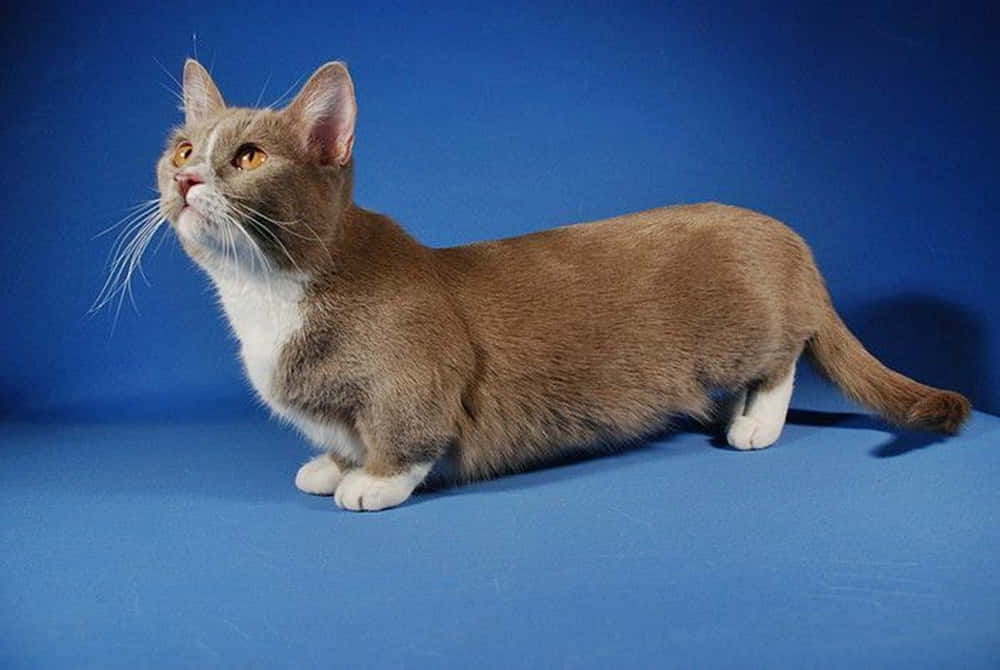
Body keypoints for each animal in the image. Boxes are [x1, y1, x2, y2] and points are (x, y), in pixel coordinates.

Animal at [141, 61, 968, 516]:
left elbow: (405, 436)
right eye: (182, 149)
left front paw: (368, 482)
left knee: (784, 357)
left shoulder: (417, 381)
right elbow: (341, 434)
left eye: (249, 157)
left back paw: (754, 423)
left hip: (752, 331)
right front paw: (333, 464)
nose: (185, 178)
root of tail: (787, 236)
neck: (266, 301)